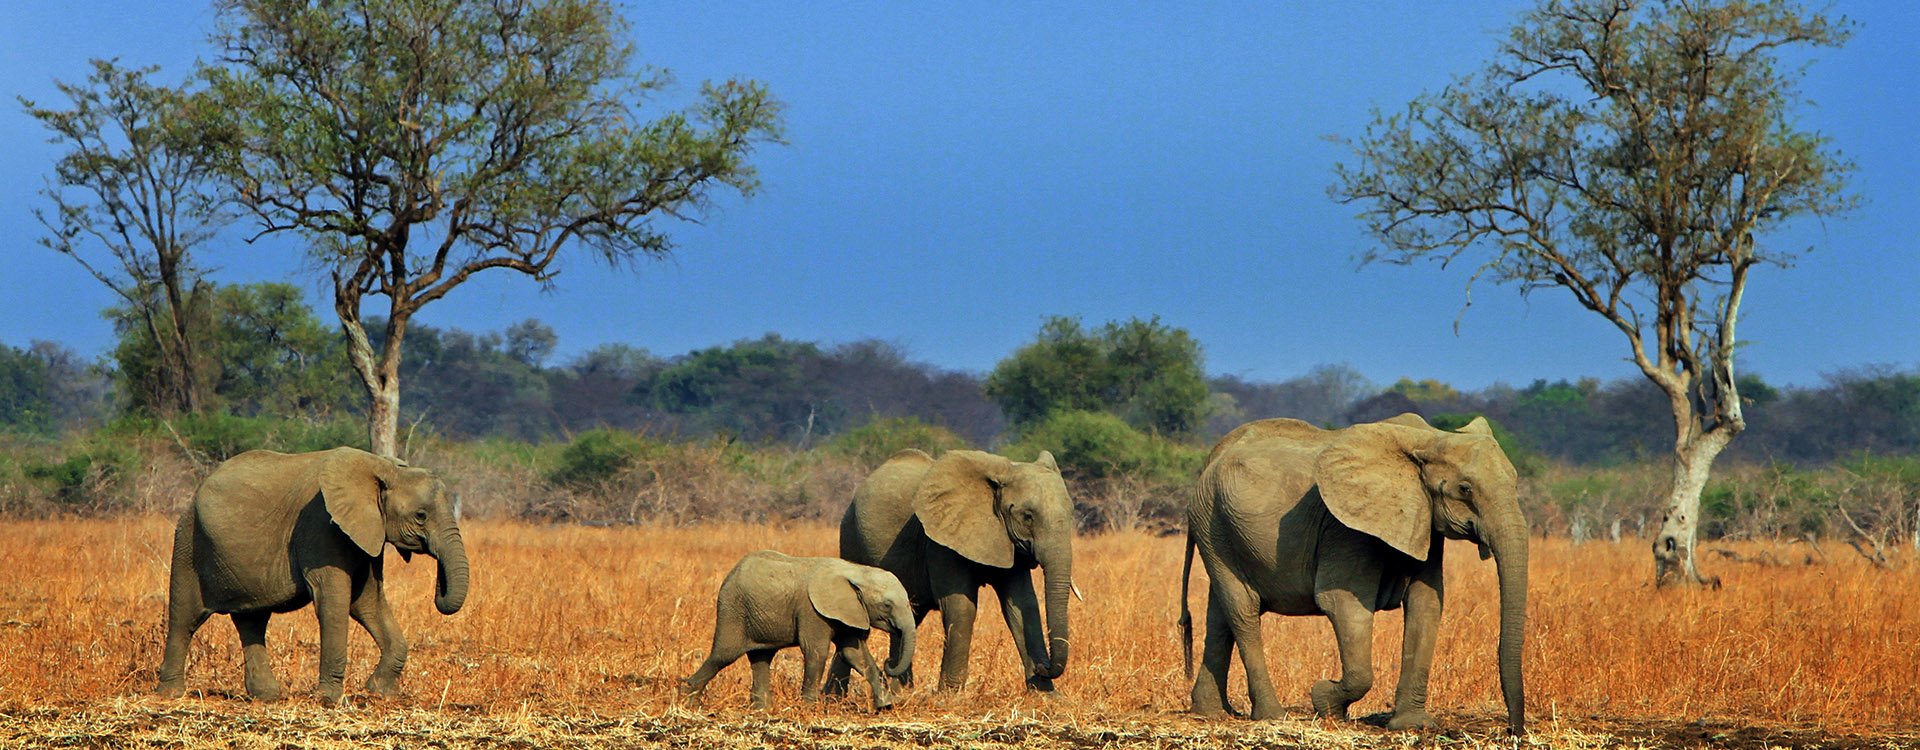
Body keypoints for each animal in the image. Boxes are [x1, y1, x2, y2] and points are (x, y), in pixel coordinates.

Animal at [154, 448, 468, 709]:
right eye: (421, 515)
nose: (439, 584)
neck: (383, 467)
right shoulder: (321, 527)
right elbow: (334, 602)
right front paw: (330, 701)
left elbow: (367, 602)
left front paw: (379, 692)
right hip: (188, 541)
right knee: (185, 618)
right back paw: (170, 694)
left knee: (252, 620)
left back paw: (268, 697)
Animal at [683, 552, 921, 709]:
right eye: (887, 605)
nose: (889, 662)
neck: (856, 571)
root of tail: (730, 573)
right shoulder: (812, 611)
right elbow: (816, 652)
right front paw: (810, 709)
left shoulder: (850, 612)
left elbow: (855, 654)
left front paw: (886, 706)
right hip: (733, 609)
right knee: (724, 655)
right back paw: (687, 700)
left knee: (761, 657)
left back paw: (762, 710)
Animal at [833, 448, 1082, 694]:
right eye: (1027, 516)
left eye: (1071, 514)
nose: (1043, 666)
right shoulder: (940, 540)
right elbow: (961, 607)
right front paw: (951, 695)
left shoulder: (1008, 541)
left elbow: (1023, 605)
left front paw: (1047, 696)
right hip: (850, 537)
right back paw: (839, 697)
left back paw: (901, 692)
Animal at [1167, 410, 1528, 732]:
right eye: (1465, 488)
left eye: (1514, 483)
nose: (1513, 730)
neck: (1428, 439)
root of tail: (1211, 457)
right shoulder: (1345, 529)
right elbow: (1343, 604)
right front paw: (1323, 700)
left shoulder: (1422, 520)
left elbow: (1426, 604)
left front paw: (1412, 725)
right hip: (1212, 522)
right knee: (1243, 610)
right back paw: (1272, 716)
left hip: (1218, 527)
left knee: (1220, 613)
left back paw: (1212, 713)